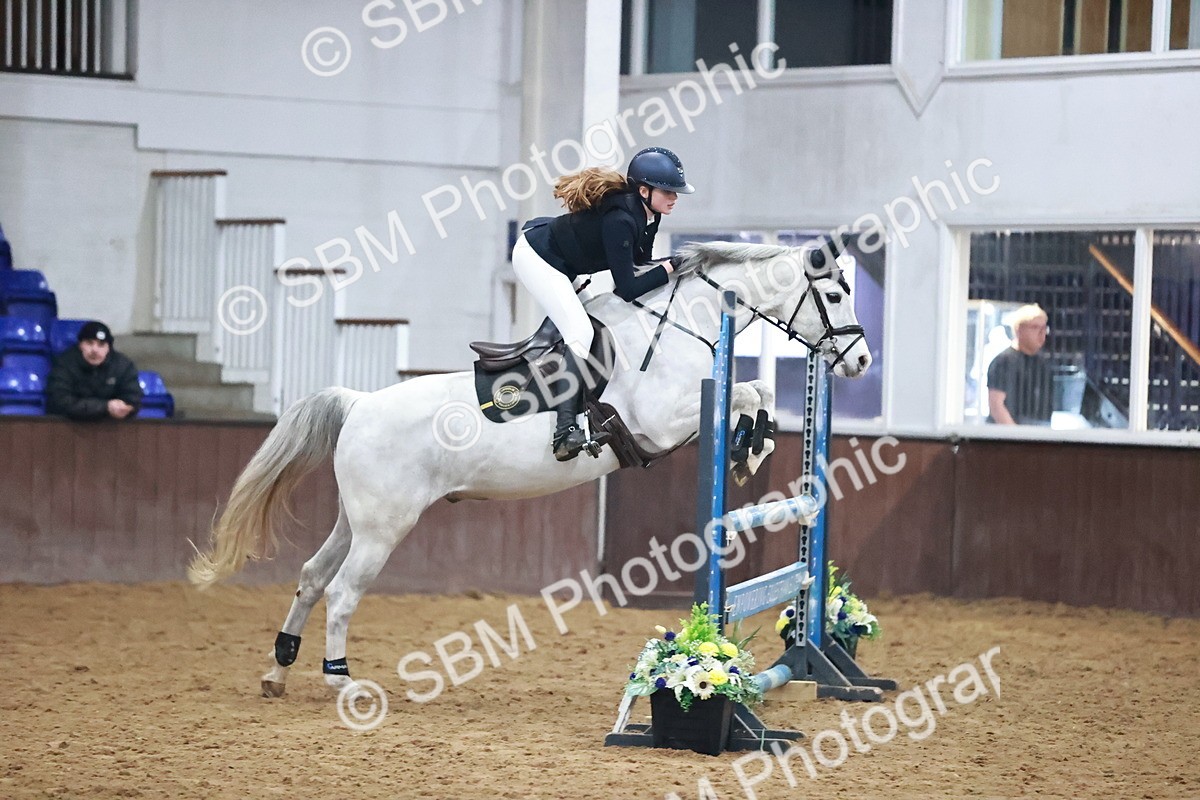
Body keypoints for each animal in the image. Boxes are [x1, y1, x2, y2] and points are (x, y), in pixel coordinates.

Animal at [187, 238, 872, 698]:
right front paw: (749, 447)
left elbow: (759, 392)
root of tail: (359, 402)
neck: (679, 325)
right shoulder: (664, 421)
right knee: (344, 592)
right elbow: (750, 390)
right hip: (384, 527)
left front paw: (752, 448)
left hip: (356, 519)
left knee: (311, 577)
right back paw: (340, 681)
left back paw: (278, 670)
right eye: (835, 294)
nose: (862, 361)